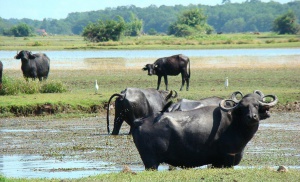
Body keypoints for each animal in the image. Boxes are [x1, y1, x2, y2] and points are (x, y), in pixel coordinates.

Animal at [132, 91, 278, 170]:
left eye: (256, 105)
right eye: (242, 107)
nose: (252, 117)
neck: (234, 124)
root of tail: (139, 121)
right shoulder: (224, 161)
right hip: (151, 162)